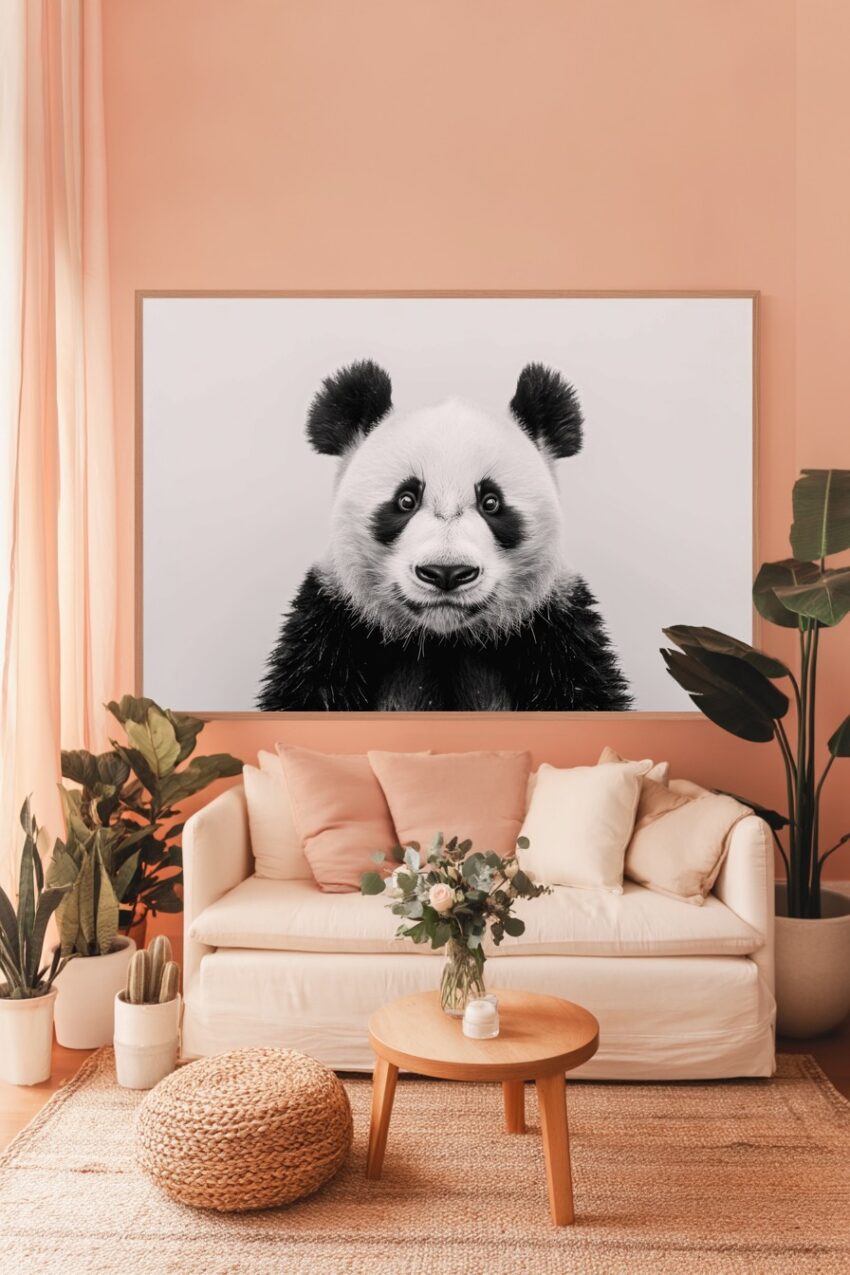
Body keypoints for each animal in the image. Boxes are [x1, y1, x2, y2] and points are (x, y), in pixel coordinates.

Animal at [258, 360, 632, 712]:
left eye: (491, 503)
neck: (444, 641)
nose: (446, 573)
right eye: (405, 500)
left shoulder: (555, 634)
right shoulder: (332, 628)